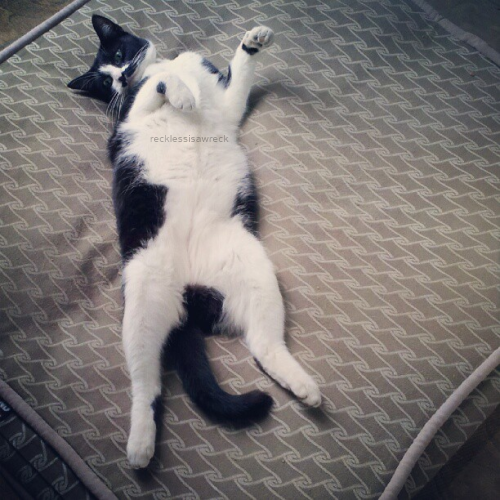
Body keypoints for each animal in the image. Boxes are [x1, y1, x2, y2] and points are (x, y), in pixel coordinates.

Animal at [68, 15, 321, 468]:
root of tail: (191, 293)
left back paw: (302, 385)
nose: (123, 76)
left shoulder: (226, 103)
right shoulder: (131, 115)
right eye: (105, 83)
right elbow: (160, 85)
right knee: (146, 386)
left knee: (263, 345)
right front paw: (180, 93)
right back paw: (140, 445)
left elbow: (236, 74)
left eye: (118, 55)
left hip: (254, 269)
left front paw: (254, 41)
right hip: (142, 304)